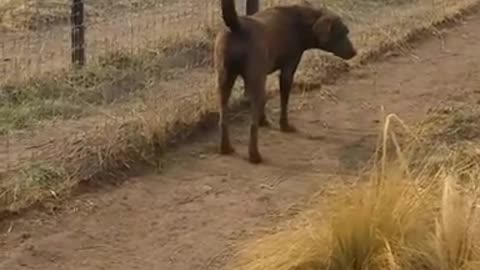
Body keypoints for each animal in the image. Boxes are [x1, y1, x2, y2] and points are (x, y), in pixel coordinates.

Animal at [214, 0, 356, 163]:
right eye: (342, 33)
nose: (354, 52)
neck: (300, 23)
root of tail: (237, 26)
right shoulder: (287, 70)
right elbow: (284, 101)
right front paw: (285, 126)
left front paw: (264, 120)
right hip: (254, 80)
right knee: (252, 125)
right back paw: (254, 155)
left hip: (224, 79)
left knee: (223, 117)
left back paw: (225, 148)